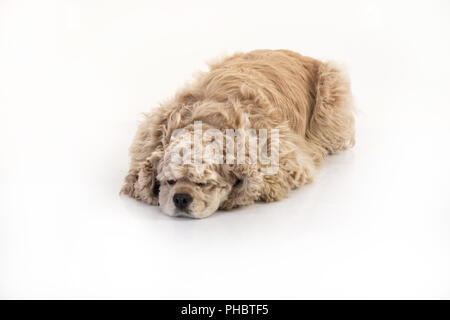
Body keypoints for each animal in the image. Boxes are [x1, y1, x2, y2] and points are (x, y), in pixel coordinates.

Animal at [120, 50, 356, 219]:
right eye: (169, 181)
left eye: (205, 184)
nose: (181, 198)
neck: (208, 120)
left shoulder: (284, 159)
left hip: (330, 97)